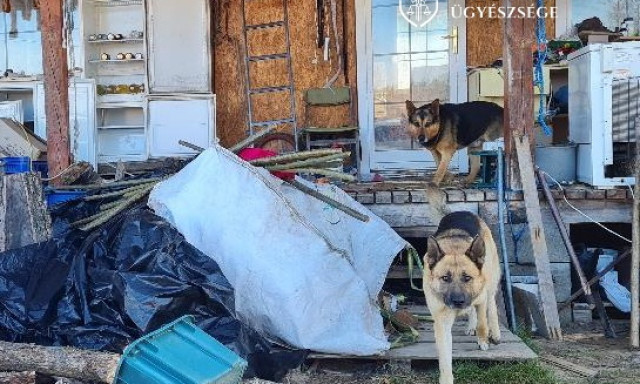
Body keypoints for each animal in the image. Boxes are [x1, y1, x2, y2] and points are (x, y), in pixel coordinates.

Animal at [422, 212, 502, 382]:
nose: (458, 301)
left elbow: (482, 322)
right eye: (445, 278)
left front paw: (483, 340)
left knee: (491, 303)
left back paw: (495, 332)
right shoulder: (442, 322)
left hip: (490, 280)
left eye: (467, 278)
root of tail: (464, 212)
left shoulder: (481, 297)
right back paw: (471, 326)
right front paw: (446, 379)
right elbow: (445, 358)